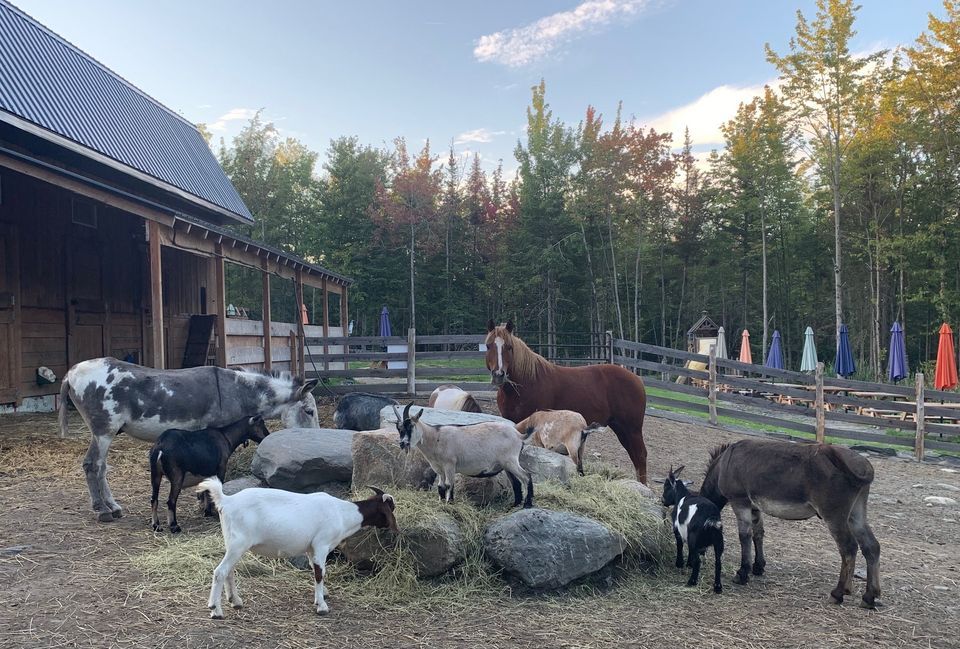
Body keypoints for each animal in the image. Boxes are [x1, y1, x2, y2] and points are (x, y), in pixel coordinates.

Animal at [60, 356, 318, 524]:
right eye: (309, 411)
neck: (238, 392)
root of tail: (71, 372)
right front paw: (208, 505)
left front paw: (203, 503)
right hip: (104, 430)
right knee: (92, 464)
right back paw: (102, 510)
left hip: (105, 432)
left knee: (101, 466)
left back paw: (113, 507)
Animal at [199, 476, 398, 616]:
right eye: (392, 508)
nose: (396, 530)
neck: (342, 514)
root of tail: (226, 501)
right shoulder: (321, 544)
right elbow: (319, 572)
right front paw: (322, 606)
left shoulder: (311, 548)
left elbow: (314, 568)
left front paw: (322, 595)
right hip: (239, 542)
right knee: (220, 571)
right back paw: (216, 610)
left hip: (232, 542)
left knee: (229, 571)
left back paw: (235, 601)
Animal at [484, 318, 648, 480]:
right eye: (488, 346)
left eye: (509, 347)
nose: (498, 375)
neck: (527, 383)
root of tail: (636, 379)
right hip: (620, 428)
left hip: (631, 429)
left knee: (640, 456)